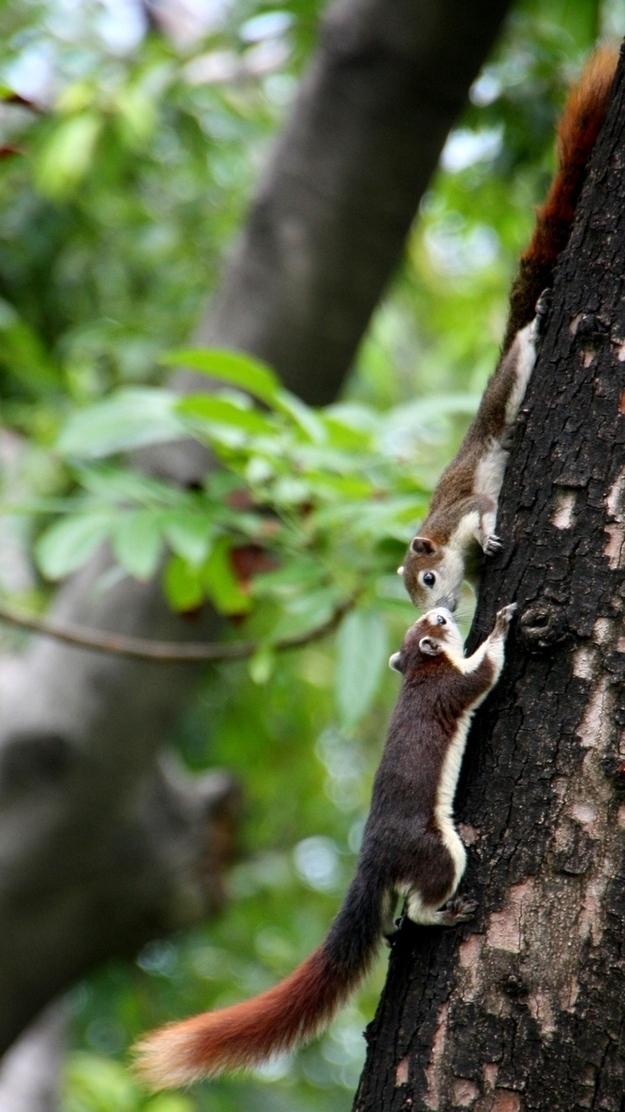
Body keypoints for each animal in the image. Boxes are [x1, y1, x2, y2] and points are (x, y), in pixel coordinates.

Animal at [131, 600, 511, 1085]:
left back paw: (391, 926)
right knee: (422, 904)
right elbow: (485, 671)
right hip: (439, 849)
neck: (419, 671)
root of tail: (372, 862)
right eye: (438, 623)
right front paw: (503, 622)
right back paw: (447, 913)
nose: (446, 605)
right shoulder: (453, 684)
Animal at [400, 45, 613, 618]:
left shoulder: (465, 511)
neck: (442, 537)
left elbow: (482, 512)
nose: (439, 611)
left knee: (518, 356)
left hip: (503, 394)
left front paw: (491, 536)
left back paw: (535, 324)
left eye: (427, 578)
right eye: (413, 591)